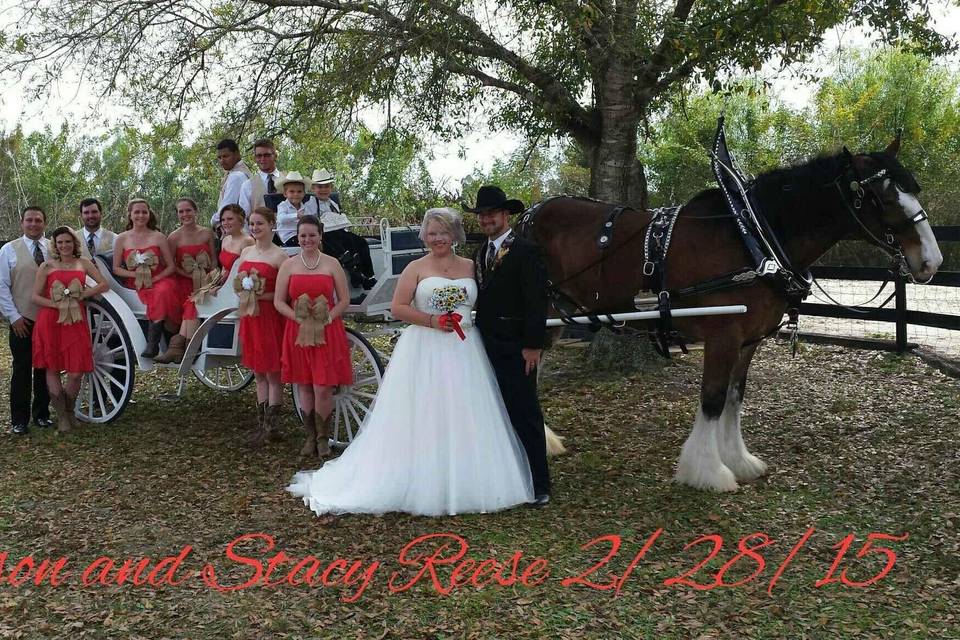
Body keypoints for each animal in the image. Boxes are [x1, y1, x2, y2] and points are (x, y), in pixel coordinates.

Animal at [520, 138, 940, 492]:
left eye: (913, 188)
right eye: (880, 196)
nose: (931, 261)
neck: (752, 237)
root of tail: (528, 216)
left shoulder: (748, 341)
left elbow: (735, 398)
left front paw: (739, 461)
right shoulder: (723, 336)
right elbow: (713, 399)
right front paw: (707, 472)